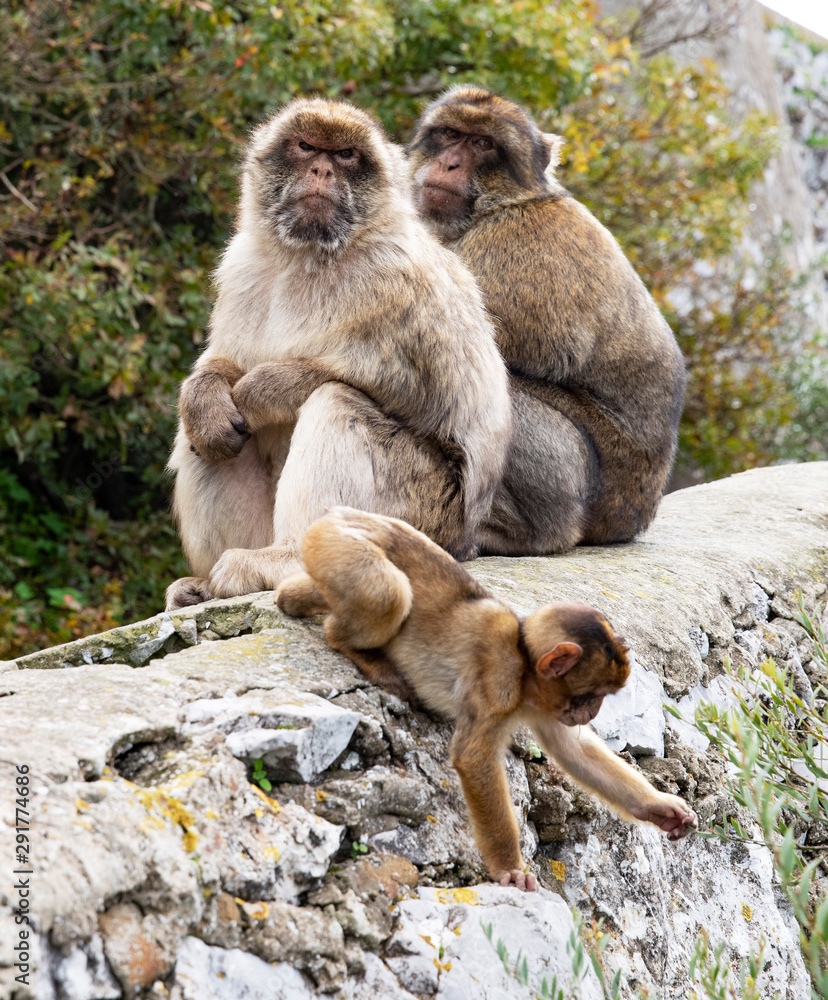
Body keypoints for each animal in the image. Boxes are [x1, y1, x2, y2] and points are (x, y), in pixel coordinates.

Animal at [165, 98, 511, 611]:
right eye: (306, 146)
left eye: (346, 155)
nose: (322, 169)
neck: (308, 255)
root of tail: (465, 543)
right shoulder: (242, 266)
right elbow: (224, 363)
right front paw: (207, 394)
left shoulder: (397, 279)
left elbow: (408, 391)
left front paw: (262, 390)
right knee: (198, 437)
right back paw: (206, 584)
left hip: (422, 513)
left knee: (337, 401)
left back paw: (288, 559)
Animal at [276, 507, 698, 892]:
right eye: (591, 696)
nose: (591, 713)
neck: (524, 665)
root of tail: (338, 513)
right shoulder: (497, 682)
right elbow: (473, 756)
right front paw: (509, 868)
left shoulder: (546, 707)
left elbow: (575, 753)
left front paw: (661, 808)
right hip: (336, 543)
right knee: (387, 596)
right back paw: (350, 643)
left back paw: (291, 599)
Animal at [406, 86, 687, 557]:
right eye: (448, 134)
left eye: (482, 143)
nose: (449, 164)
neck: (501, 206)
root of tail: (633, 520)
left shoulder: (514, 245)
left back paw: (533, 533)